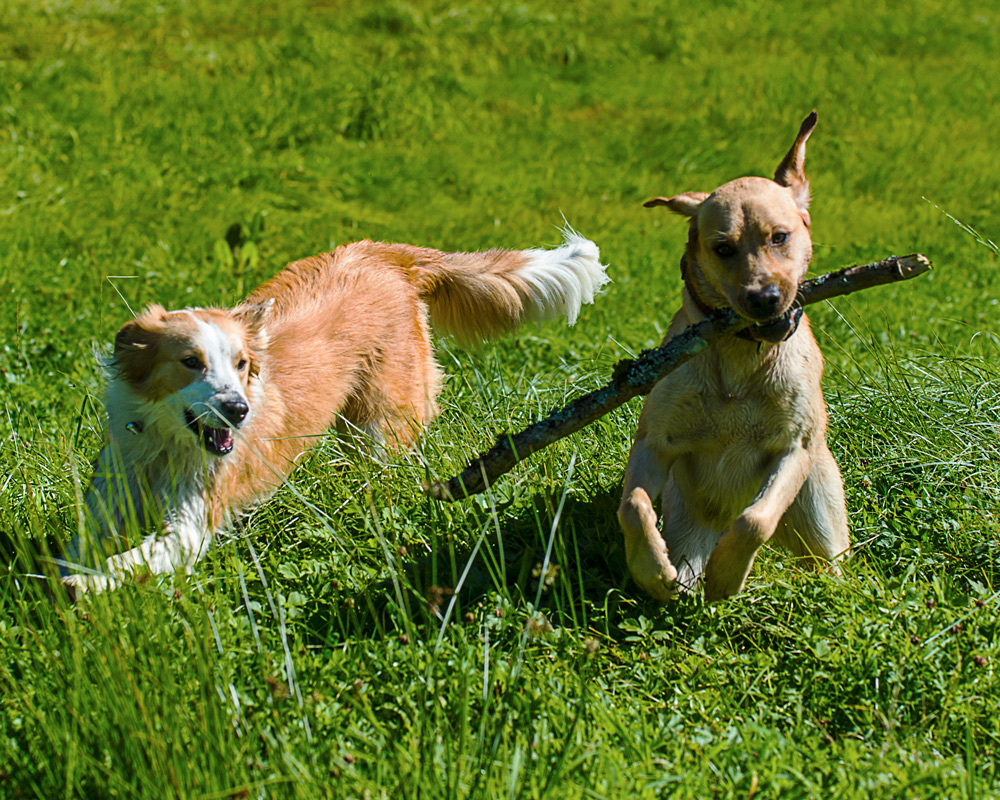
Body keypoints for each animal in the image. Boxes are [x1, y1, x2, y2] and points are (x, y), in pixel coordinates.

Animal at [66, 231, 608, 592]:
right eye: (190, 362)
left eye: (241, 364)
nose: (239, 410)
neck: (164, 446)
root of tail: (387, 253)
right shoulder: (110, 492)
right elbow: (81, 546)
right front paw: (72, 577)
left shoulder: (192, 524)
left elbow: (137, 557)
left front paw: (88, 584)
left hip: (382, 422)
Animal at [620, 112, 848, 600]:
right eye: (723, 248)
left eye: (779, 237)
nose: (763, 298)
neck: (741, 355)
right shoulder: (654, 442)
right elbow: (633, 507)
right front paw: (650, 570)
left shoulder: (794, 448)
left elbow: (754, 520)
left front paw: (726, 574)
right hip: (686, 515)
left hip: (819, 506)